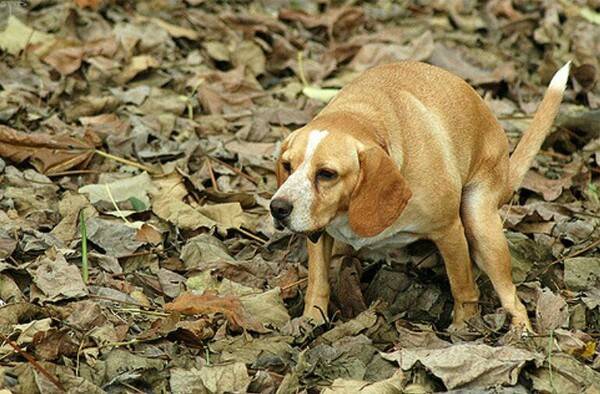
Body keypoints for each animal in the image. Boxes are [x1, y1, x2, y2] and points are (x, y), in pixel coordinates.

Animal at [270, 60, 568, 330]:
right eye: (287, 165)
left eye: (327, 174)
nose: (277, 208)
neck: (362, 115)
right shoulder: (318, 235)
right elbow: (317, 283)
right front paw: (311, 322)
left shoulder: (449, 232)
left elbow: (463, 288)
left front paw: (464, 327)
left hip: (480, 224)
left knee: (511, 297)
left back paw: (521, 331)